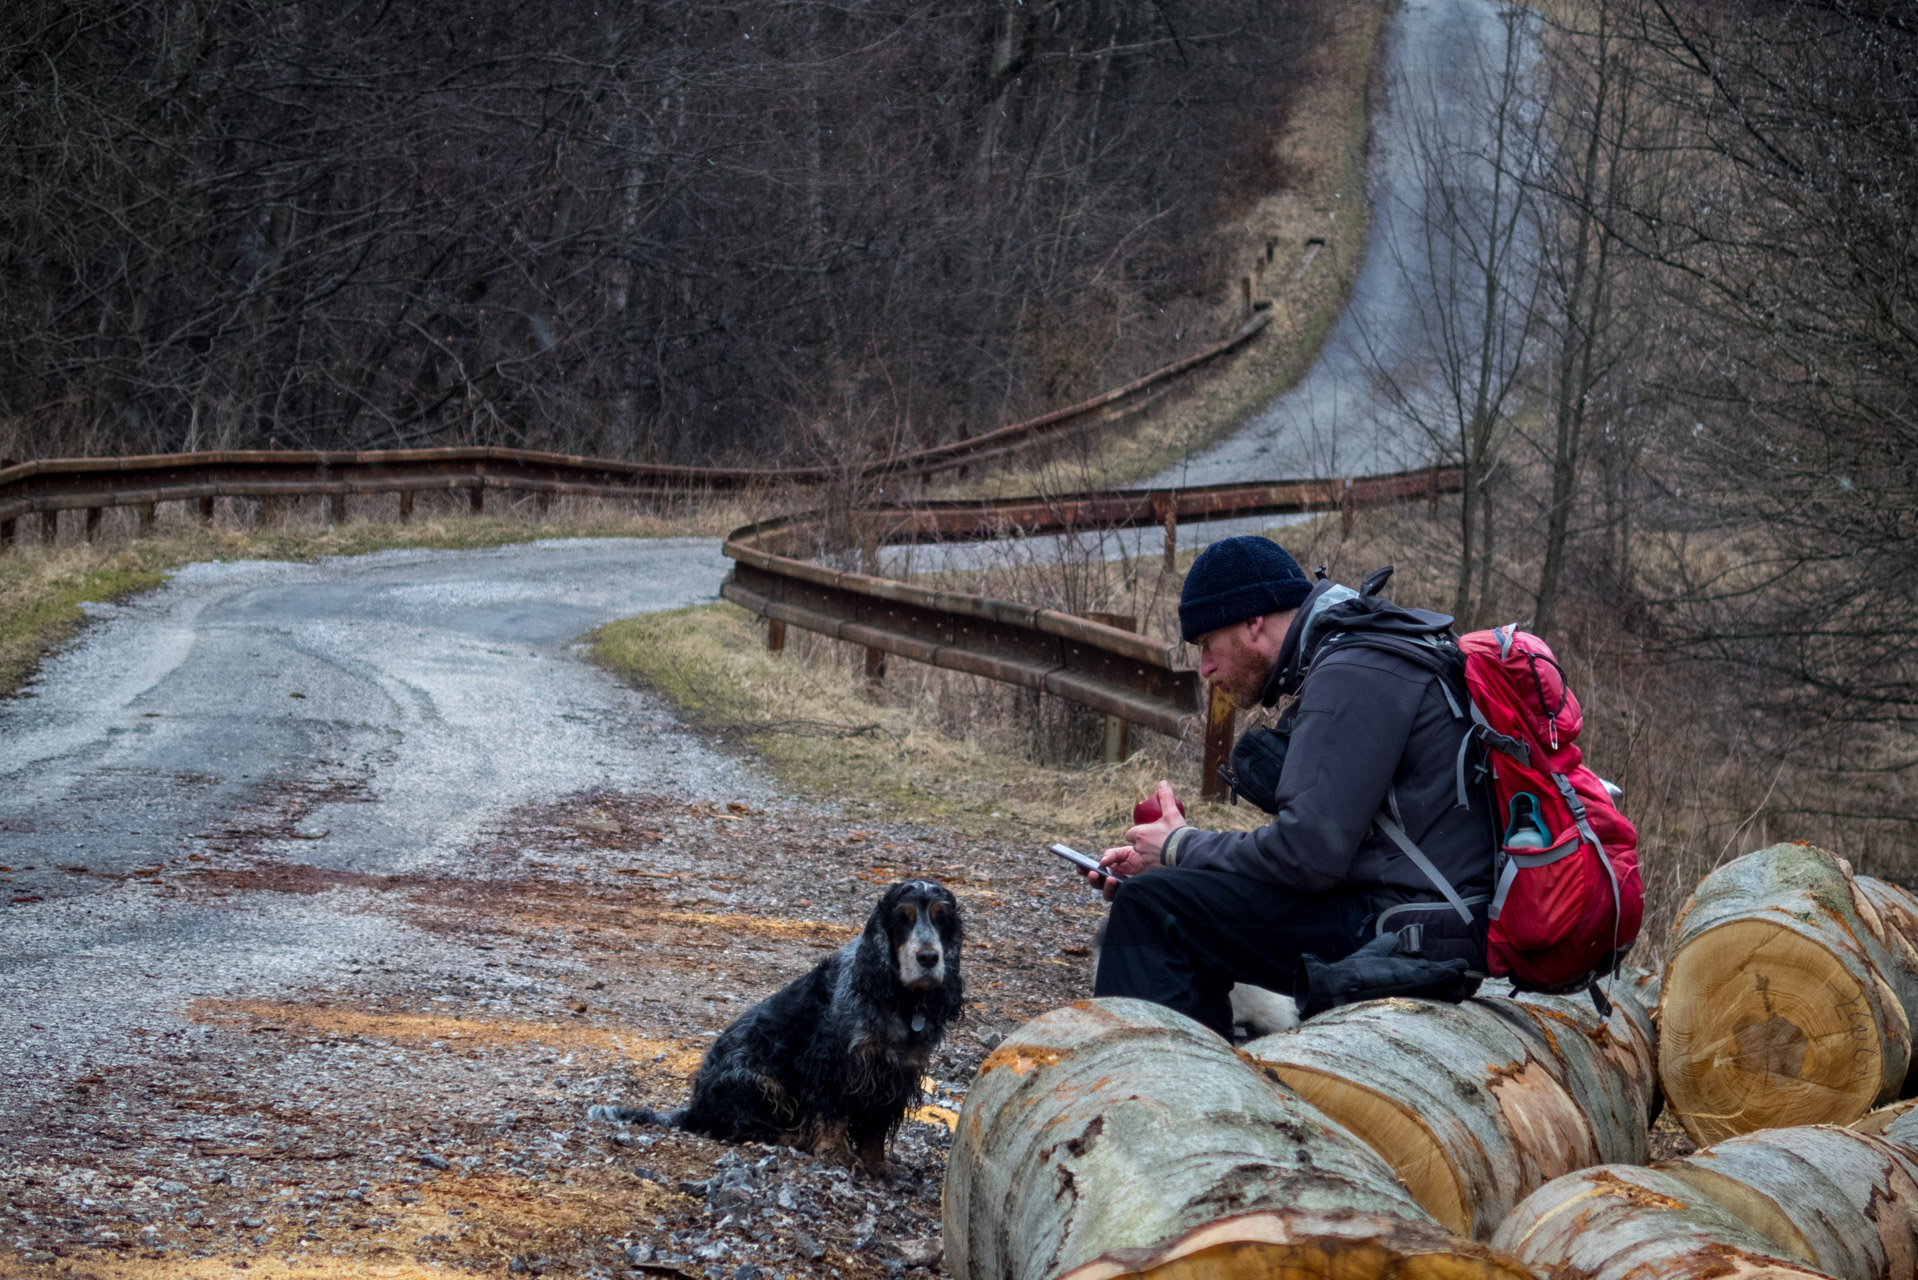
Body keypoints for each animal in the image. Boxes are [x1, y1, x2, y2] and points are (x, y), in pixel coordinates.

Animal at [586, 882, 959, 1174]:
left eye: (941, 920)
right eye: (901, 919)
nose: (928, 958)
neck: (900, 1001)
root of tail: (695, 1108)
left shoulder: (896, 1074)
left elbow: (875, 1130)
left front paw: (879, 1167)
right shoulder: (836, 1064)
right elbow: (833, 1114)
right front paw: (837, 1154)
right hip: (758, 1080)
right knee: (739, 1126)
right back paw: (795, 1138)